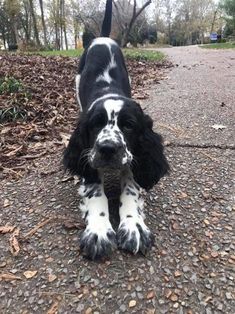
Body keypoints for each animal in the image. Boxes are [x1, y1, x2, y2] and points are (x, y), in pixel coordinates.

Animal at [63, 0, 168, 260]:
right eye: (96, 124)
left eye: (129, 125)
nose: (108, 149)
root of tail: (101, 37)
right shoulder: (89, 157)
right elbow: (96, 193)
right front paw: (99, 231)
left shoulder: (134, 157)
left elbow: (130, 190)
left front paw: (133, 226)